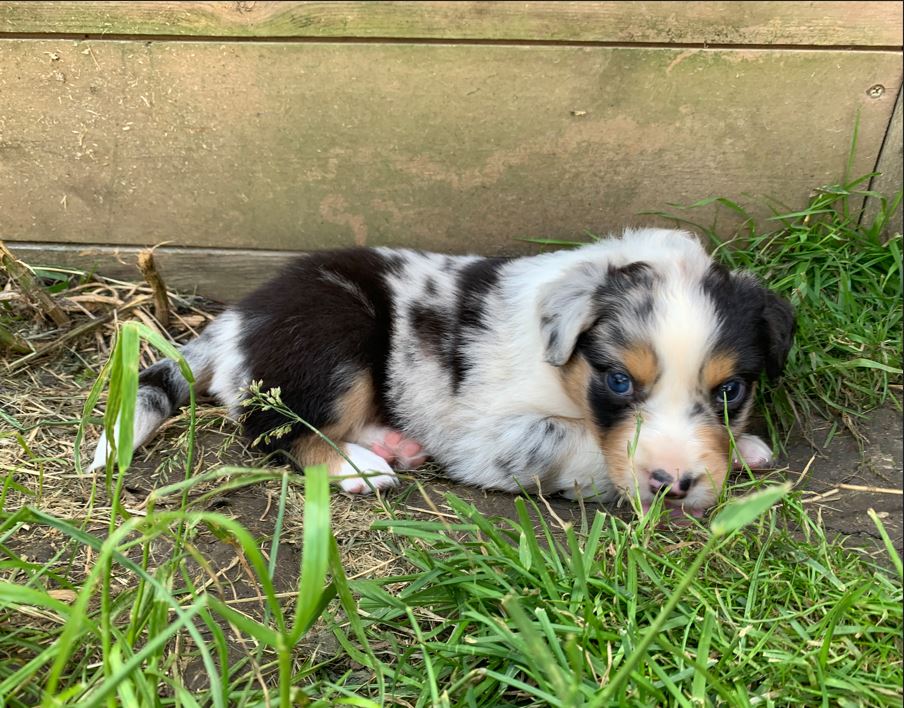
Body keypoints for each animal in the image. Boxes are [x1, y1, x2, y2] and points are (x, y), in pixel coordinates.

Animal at [88, 230, 796, 516]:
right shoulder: (498, 438)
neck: (563, 372)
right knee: (274, 429)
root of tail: (240, 316)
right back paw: (359, 467)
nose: (675, 484)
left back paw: (393, 445)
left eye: (730, 390)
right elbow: (587, 453)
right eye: (619, 381)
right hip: (335, 337)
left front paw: (744, 448)